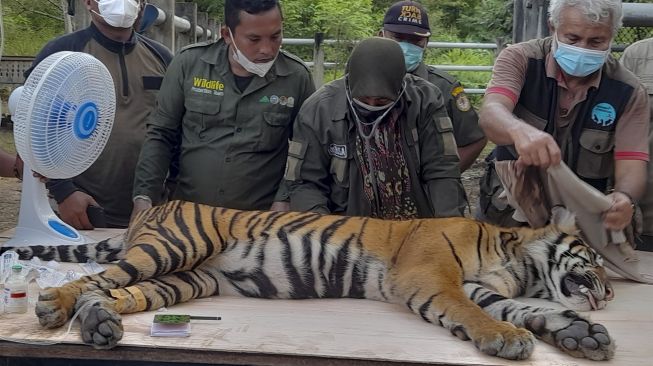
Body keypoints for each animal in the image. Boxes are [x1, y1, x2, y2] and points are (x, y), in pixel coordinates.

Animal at [2, 200, 616, 360]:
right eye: (596, 258)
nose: (611, 290)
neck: (515, 259)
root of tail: (148, 209)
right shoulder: (432, 277)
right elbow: (477, 315)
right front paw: (508, 340)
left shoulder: (482, 286)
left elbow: (532, 310)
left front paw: (580, 335)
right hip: (174, 247)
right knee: (93, 277)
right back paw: (52, 307)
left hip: (185, 281)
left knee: (110, 290)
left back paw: (99, 327)